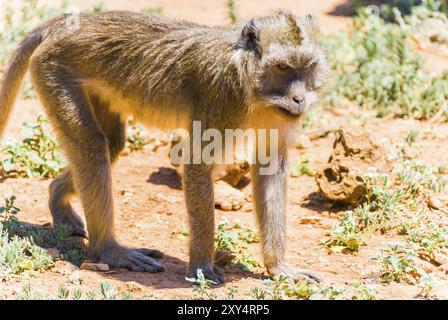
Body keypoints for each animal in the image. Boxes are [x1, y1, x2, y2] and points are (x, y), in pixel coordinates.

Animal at [0, 11, 328, 284]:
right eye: (283, 68)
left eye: (306, 68)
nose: (299, 99)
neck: (252, 85)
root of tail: (66, 25)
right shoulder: (222, 97)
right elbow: (197, 163)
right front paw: (201, 268)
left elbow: (270, 170)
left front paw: (279, 267)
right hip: (53, 68)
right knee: (92, 146)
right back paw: (107, 251)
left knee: (111, 144)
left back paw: (58, 199)